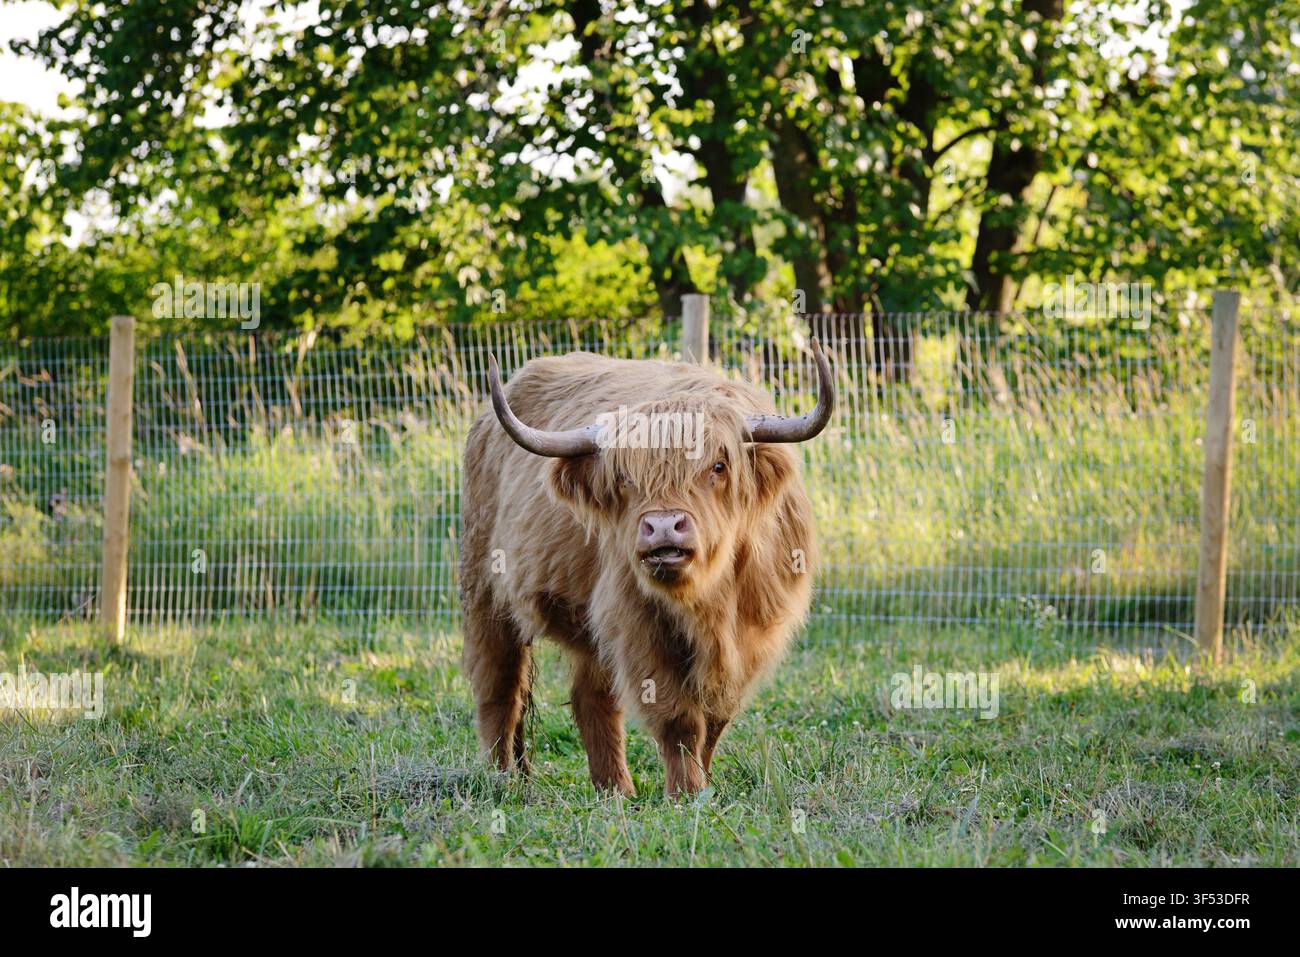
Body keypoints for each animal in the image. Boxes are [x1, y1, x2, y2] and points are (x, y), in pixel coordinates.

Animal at [459, 341, 833, 797]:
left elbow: (716, 719)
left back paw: (614, 790)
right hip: (484, 589)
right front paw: (686, 793)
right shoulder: (636, 624)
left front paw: (704, 785)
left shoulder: (752, 637)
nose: (663, 527)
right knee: (498, 686)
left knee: (590, 697)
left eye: (718, 466)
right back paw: (500, 781)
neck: (709, 599)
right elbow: (679, 719)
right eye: (623, 476)